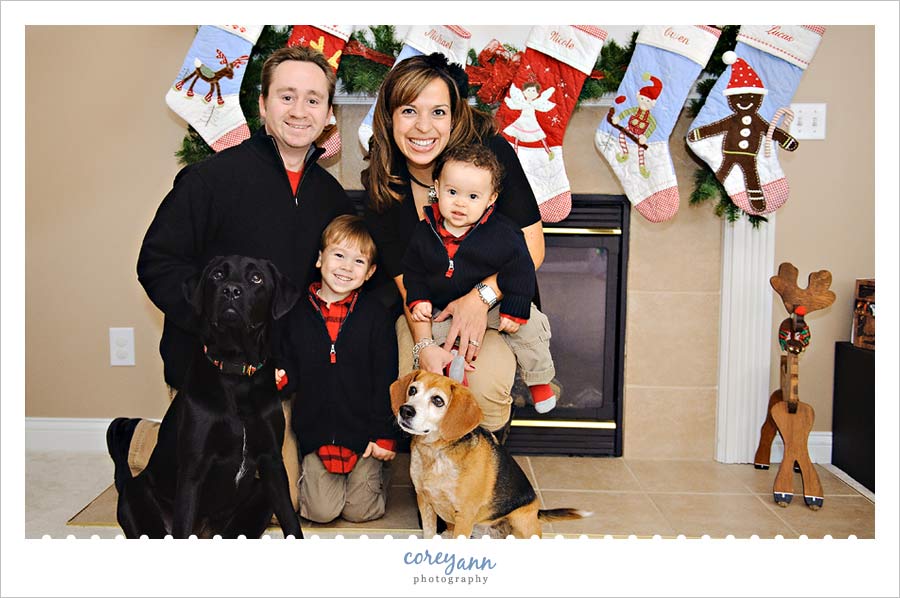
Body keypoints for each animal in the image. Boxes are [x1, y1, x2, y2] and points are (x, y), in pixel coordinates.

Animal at [107, 255, 304, 540]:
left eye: (257, 278)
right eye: (217, 275)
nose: (231, 290)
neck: (235, 373)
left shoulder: (272, 462)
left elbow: (291, 520)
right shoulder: (193, 467)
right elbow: (183, 522)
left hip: (259, 497)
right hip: (134, 496)